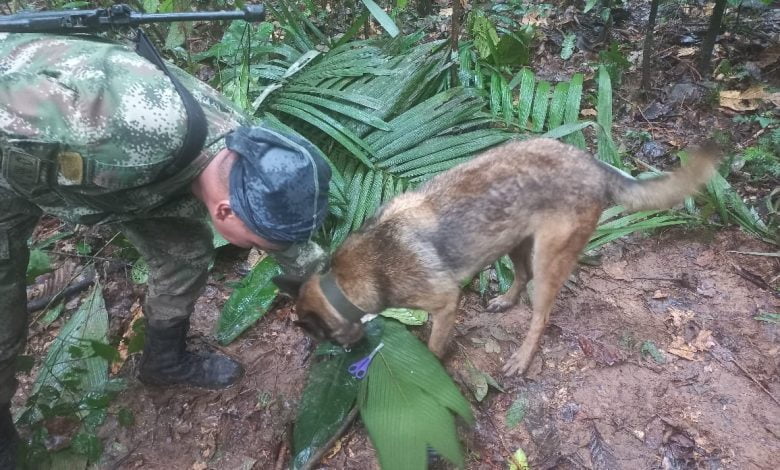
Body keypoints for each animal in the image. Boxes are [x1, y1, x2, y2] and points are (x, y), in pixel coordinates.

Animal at [282, 138, 720, 376]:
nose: (345, 356)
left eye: (321, 336)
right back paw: (505, 301)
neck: (348, 279)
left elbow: (434, 346)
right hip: (514, 241)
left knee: (540, 314)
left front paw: (430, 367)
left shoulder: (445, 303)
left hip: (547, 259)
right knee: (520, 277)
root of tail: (592, 163)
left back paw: (522, 358)